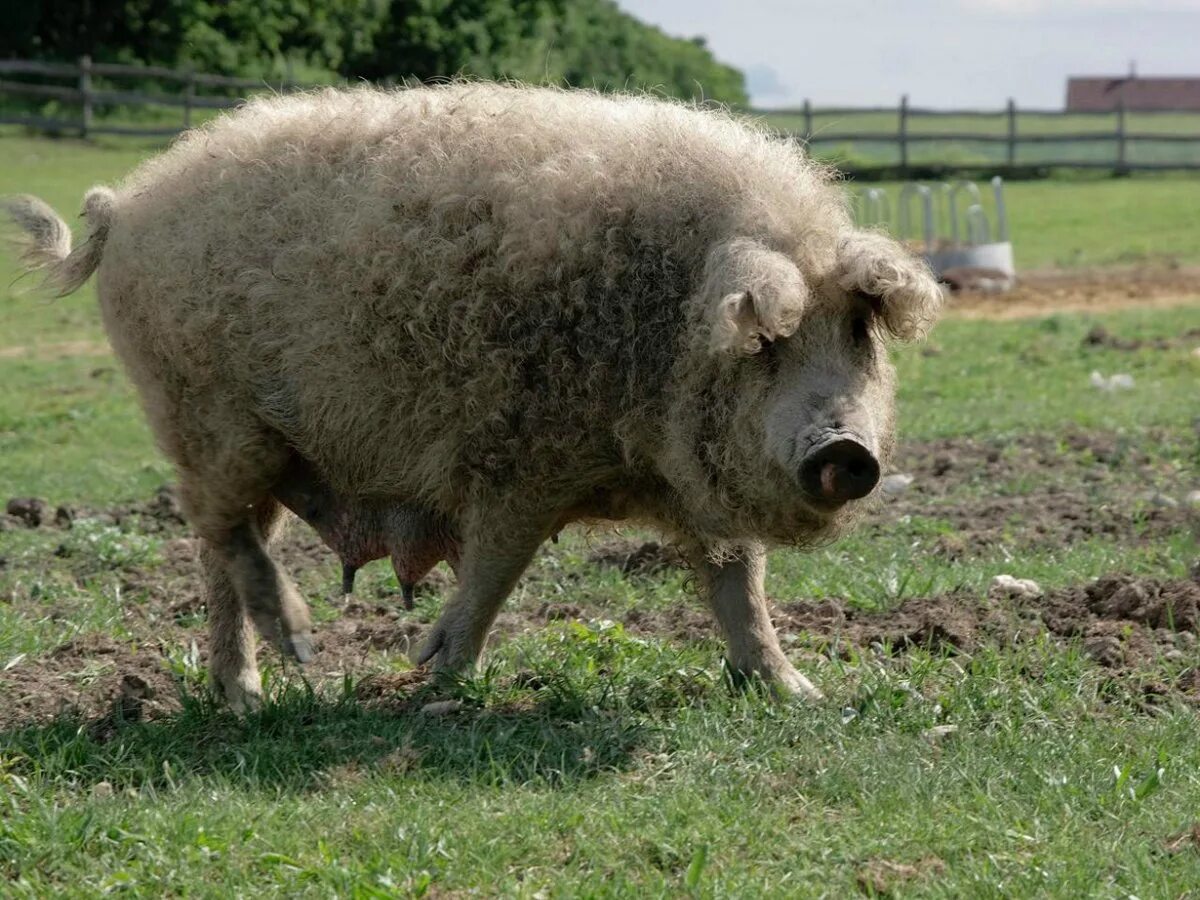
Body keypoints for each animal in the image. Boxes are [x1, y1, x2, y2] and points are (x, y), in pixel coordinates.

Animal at [7, 86, 945, 720]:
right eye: (767, 342)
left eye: (859, 329)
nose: (845, 450)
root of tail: (124, 205)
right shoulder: (518, 459)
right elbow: (497, 567)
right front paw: (437, 678)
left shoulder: (692, 483)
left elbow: (738, 581)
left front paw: (798, 693)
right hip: (204, 413)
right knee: (223, 530)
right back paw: (299, 647)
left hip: (251, 439)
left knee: (218, 551)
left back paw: (246, 696)